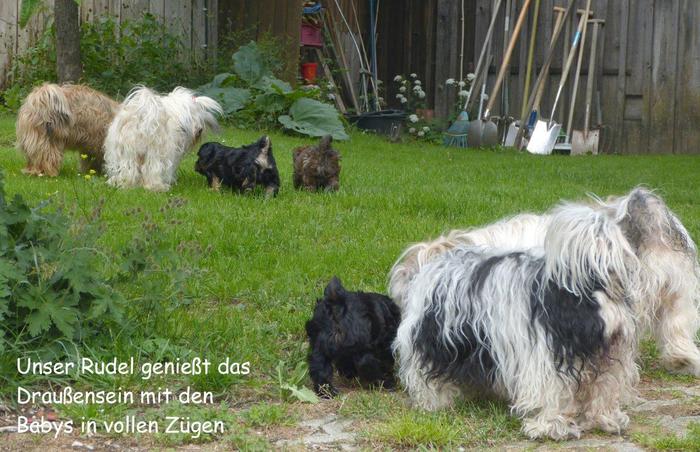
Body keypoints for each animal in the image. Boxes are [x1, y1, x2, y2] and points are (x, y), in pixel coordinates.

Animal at [394, 202, 641, 440]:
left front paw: (433, 404)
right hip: (611, 352)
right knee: (605, 388)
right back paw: (606, 419)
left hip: (546, 356)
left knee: (552, 393)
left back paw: (547, 427)